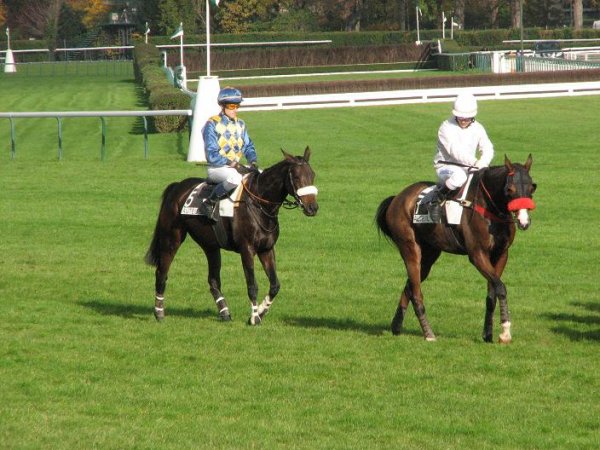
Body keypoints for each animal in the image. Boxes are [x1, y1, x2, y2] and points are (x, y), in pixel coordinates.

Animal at [145, 149, 318, 326]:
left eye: (312, 175)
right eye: (296, 177)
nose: (312, 207)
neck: (259, 204)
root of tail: (177, 186)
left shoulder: (267, 249)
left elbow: (275, 285)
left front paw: (261, 312)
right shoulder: (247, 249)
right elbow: (252, 286)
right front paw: (254, 317)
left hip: (210, 246)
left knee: (213, 280)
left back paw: (225, 312)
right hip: (171, 238)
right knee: (161, 272)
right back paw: (159, 312)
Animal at [378, 156, 536, 342]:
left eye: (532, 187)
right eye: (510, 189)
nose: (524, 221)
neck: (488, 208)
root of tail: (398, 197)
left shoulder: (501, 254)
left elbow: (492, 295)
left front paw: (488, 334)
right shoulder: (477, 255)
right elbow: (501, 288)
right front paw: (505, 332)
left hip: (429, 256)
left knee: (410, 286)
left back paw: (396, 326)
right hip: (410, 249)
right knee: (416, 293)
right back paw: (428, 334)